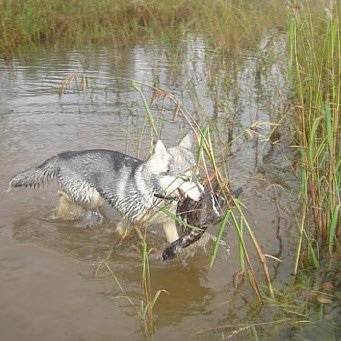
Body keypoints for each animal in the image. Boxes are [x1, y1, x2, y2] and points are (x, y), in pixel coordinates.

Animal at [7, 134, 203, 243]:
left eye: (198, 176)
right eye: (186, 179)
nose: (203, 195)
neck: (154, 193)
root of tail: (64, 155)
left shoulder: (168, 224)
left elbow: (175, 242)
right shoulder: (126, 225)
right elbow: (122, 237)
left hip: (99, 197)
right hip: (89, 196)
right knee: (62, 194)